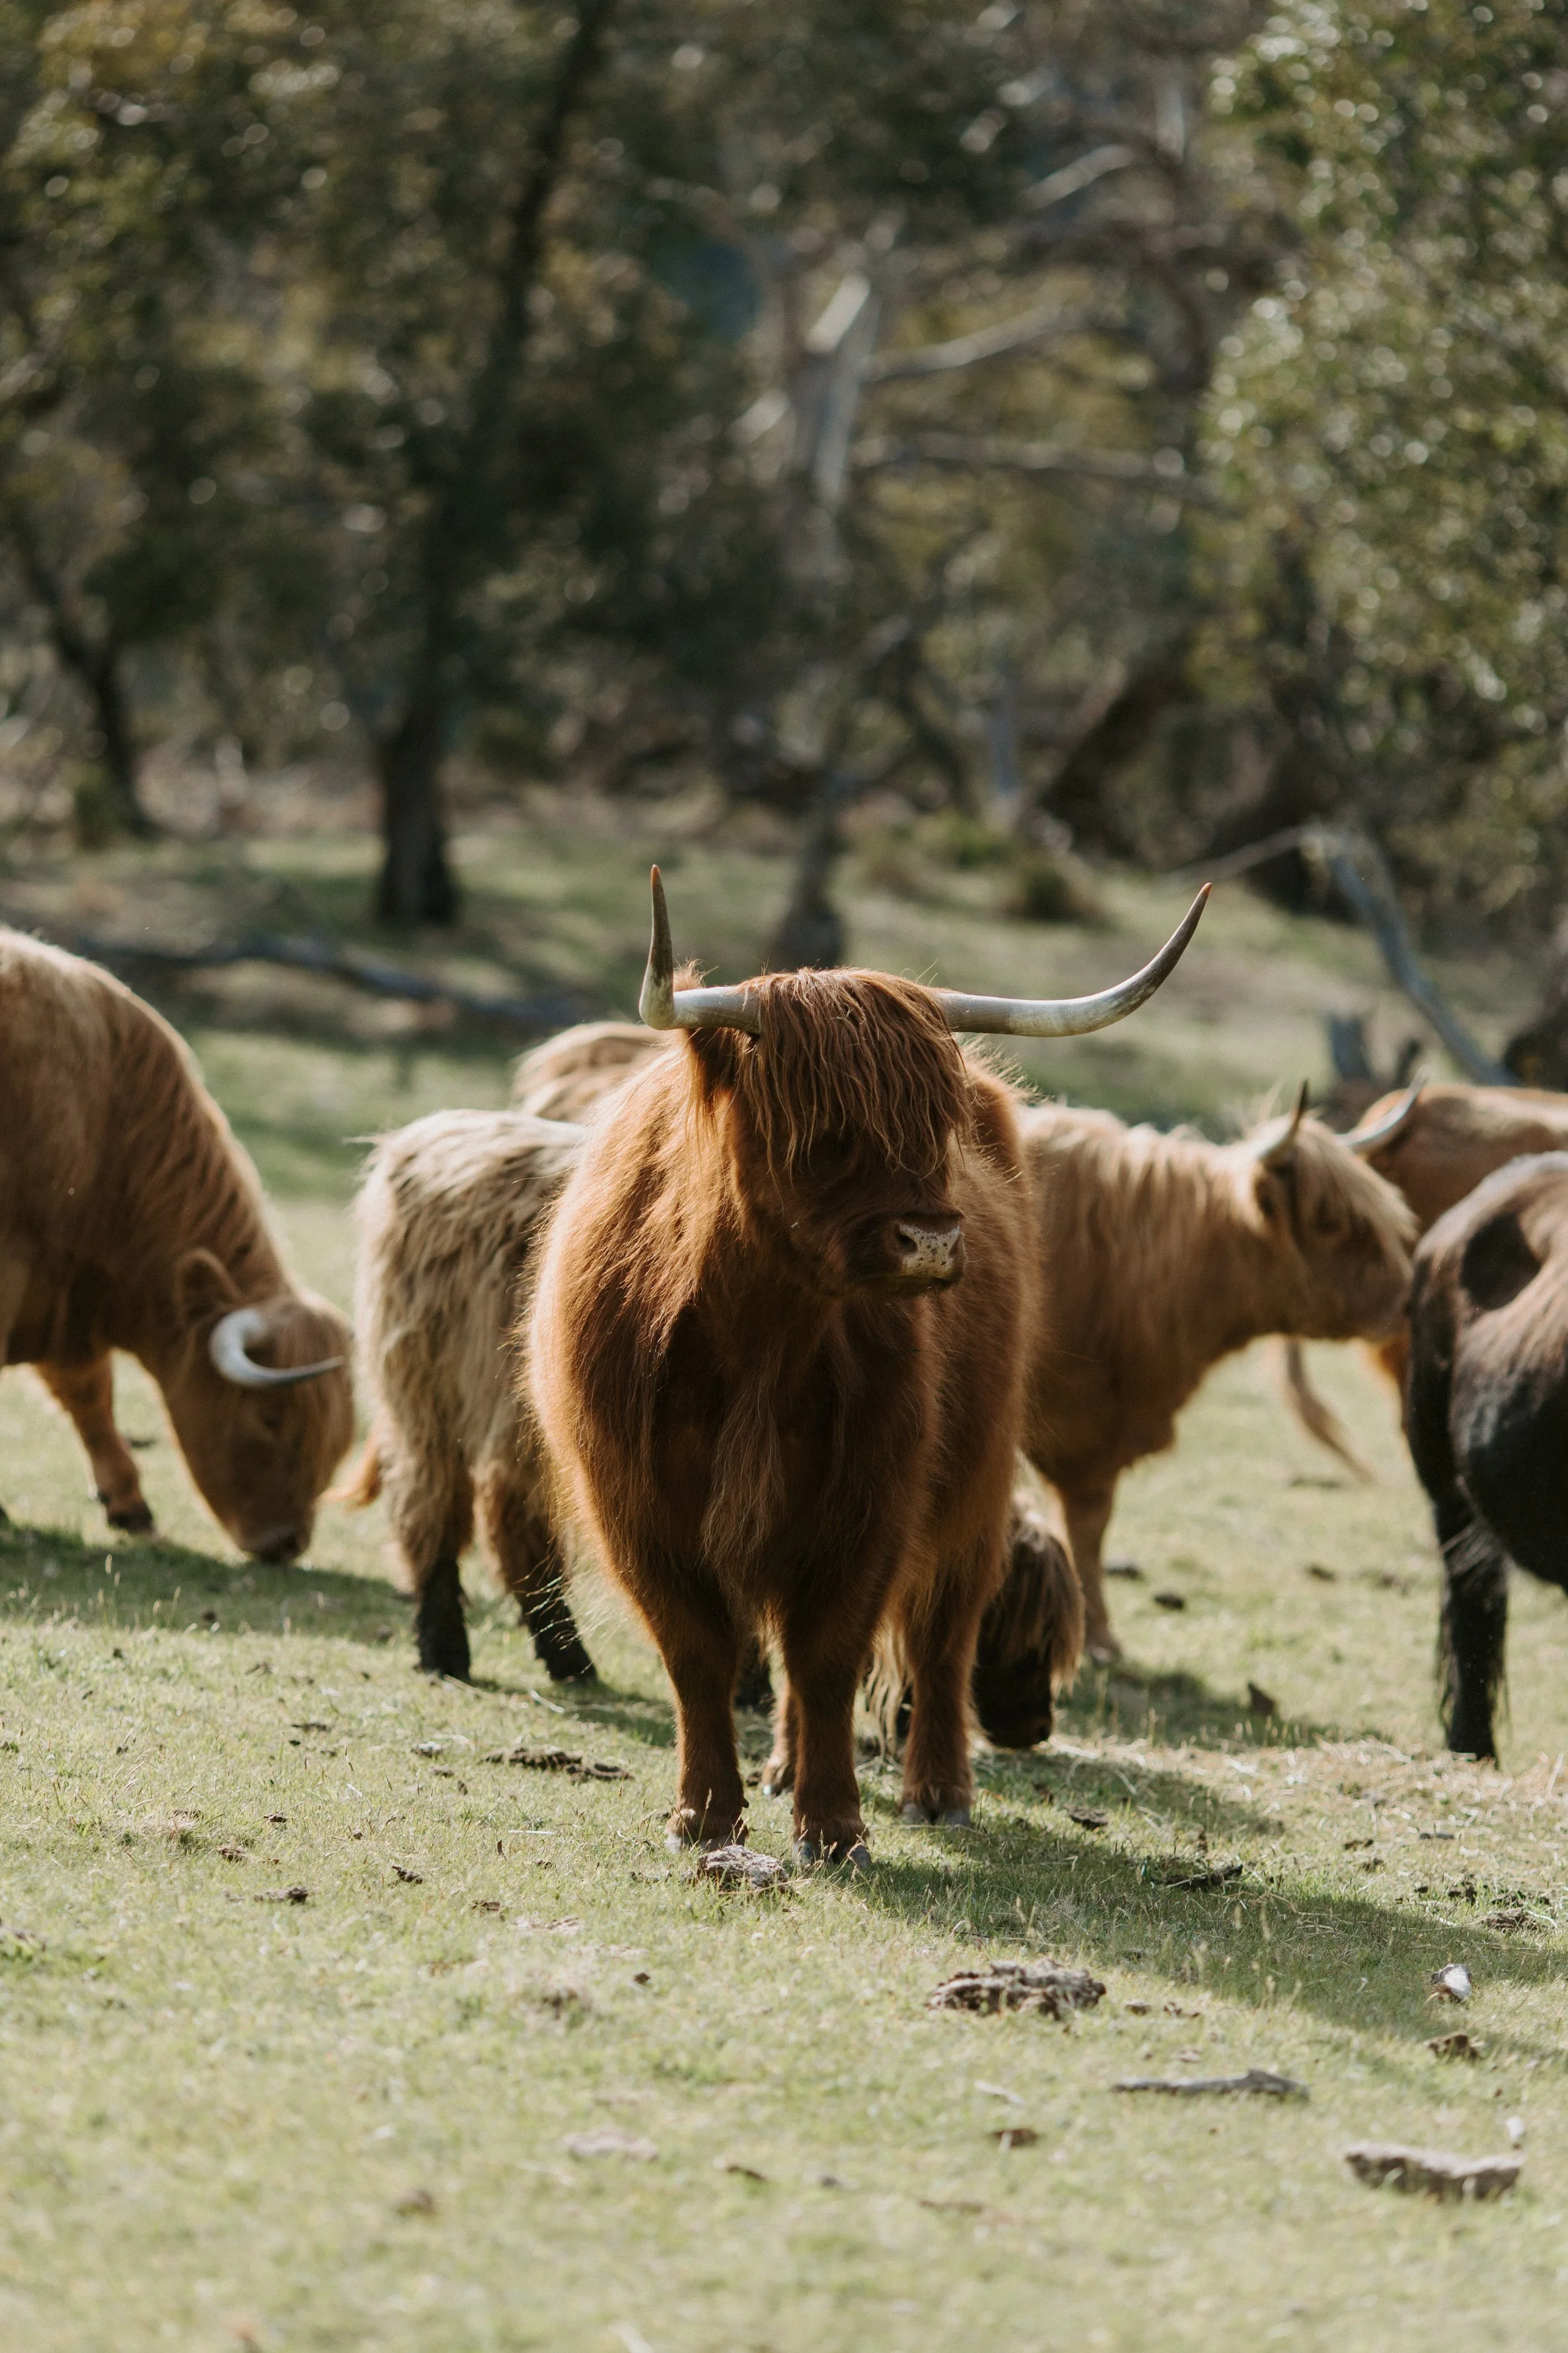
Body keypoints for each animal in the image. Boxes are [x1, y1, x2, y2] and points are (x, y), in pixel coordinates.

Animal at [527, 867, 1206, 1862]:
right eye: (821, 1128)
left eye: (935, 1123)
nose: (932, 1240)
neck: (759, 1332)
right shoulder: (641, 1504)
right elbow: (700, 1652)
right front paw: (706, 1813)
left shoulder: (867, 1497)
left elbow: (829, 1654)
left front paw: (835, 1824)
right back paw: (778, 1766)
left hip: (975, 1475)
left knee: (943, 1631)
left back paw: (937, 1789)